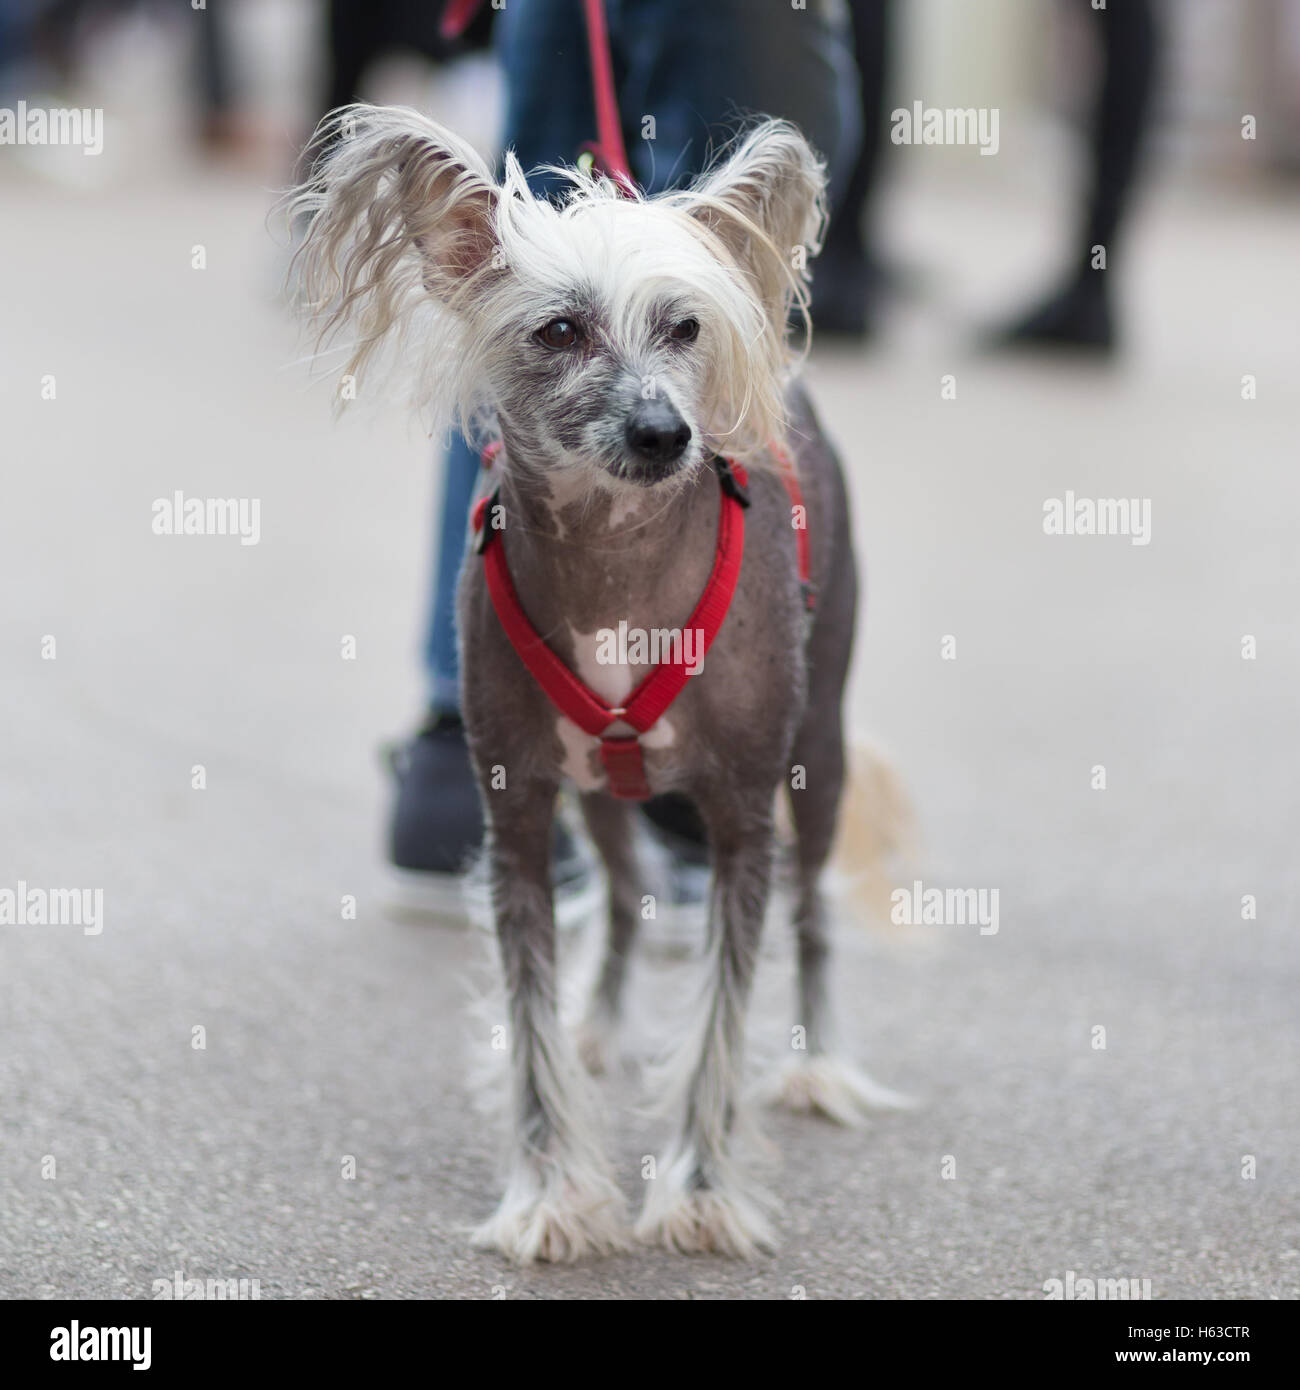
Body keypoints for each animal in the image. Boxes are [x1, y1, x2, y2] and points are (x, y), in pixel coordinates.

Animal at [293, 105, 906, 1262]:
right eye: (560, 331)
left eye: (685, 328)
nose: (666, 433)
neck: (616, 563)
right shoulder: (520, 820)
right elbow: (529, 1022)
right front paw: (549, 1196)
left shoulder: (743, 823)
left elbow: (720, 1025)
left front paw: (702, 1192)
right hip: (600, 794)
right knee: (622, 897)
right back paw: (600, 1018)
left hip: (820, 753)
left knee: (810, 912)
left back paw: (818, 1067)